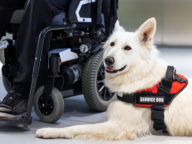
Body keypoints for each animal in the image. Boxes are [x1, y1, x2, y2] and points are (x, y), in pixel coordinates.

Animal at [35, 17, 192, 140]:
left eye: (127, 48)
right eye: (112, 44)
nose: (107, 60)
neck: (138, 76)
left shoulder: (119, 126)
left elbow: (77, 127)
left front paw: (49, 131)